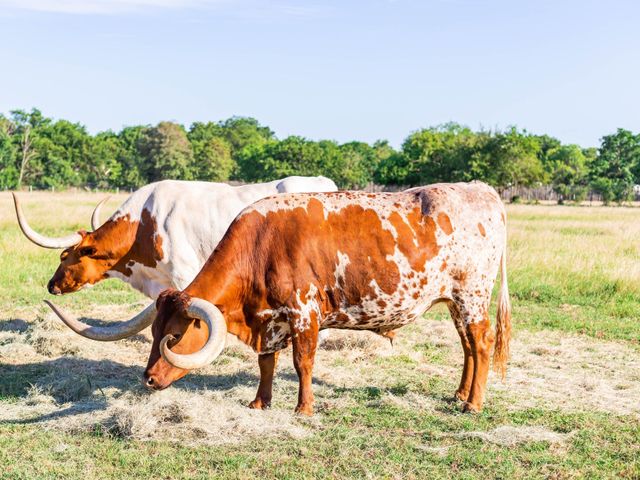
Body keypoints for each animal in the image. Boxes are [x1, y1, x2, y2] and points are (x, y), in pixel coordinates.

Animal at [101, 182, 510, 414]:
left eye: (176, 336)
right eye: (155, 333)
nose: (148, 379)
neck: (261, 245)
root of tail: (481, 189)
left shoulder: (304, 314)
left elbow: (303, 363)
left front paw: (304, 408)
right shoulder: (268, 319)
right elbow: (266, 363)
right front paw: (260, 402)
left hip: (472, 297)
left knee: (482, 342)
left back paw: (473, 404)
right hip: (456, 301)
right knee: (468, 346)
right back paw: (459, 394)